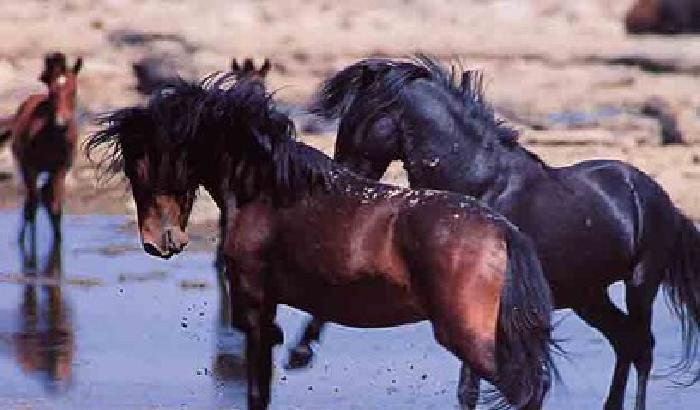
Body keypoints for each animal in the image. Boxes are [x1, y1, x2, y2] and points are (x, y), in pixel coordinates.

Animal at [10, 53, 82, 242]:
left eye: (73, 91)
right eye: (52, 92)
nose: (61, 124)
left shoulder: (60, 168)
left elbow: (55, 206)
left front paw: (58, 239)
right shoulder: (30, 168)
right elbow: (33, 205)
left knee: (45, 196)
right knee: (32, 201)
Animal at [86, 73, 558, 410]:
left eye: (138, 165)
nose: (158, 242)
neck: (270, 191)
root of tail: (504, 230)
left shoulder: (255, 306)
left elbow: (257, 391)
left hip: (469, 338)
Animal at [309, 56, 700, 410]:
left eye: (359, 118)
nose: (337, 181)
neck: (478, 187)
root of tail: (660, 198)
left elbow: (475, 388)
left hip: (640, 284)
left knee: (642, 347)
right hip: (589, 295)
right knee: (625, 342)